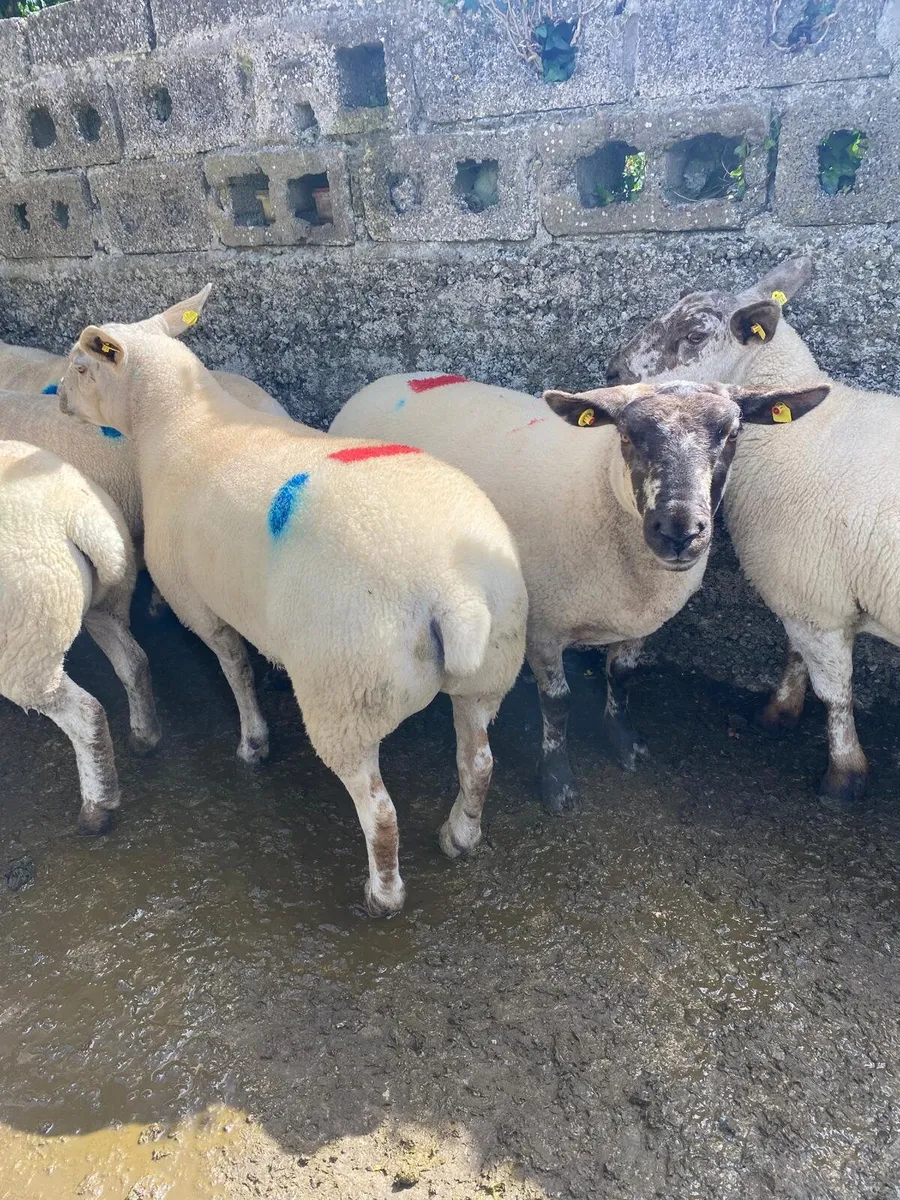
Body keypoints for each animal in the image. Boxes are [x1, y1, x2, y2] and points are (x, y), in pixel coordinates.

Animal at [0, 440, 160, 833]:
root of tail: (79, 519)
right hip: (104, 604)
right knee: (134, 663)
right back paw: (144, 737)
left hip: (26, 646)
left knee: (86, 714)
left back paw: (97, 810)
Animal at [57, 302, 528, 917]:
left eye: (80, 366)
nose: (60, 402)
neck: (179, 426)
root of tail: (454, 593)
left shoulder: (197, 603)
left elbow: (234, 668)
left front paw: (253, 742)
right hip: (490, 670)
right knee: (479, 764)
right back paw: (460, 837)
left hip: (346, 691)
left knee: (380, 813)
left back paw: (383, 895)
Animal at [330, 373, 828, 814]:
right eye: (627, 435)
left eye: (731, 434)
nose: (679, 531)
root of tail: (385, 381)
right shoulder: (543, 625)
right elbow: (558, 702)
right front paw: (557, 782)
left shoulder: (641, 619)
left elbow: (622, 675)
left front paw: (624, 743)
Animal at [607, 254, 899, 809]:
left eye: (695, 334)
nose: (613, 371)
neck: (789, 432)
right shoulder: (799, 585)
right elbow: (793, 654)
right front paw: (778, 713)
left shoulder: (816, 598)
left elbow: (835, 691)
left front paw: (843, 778)